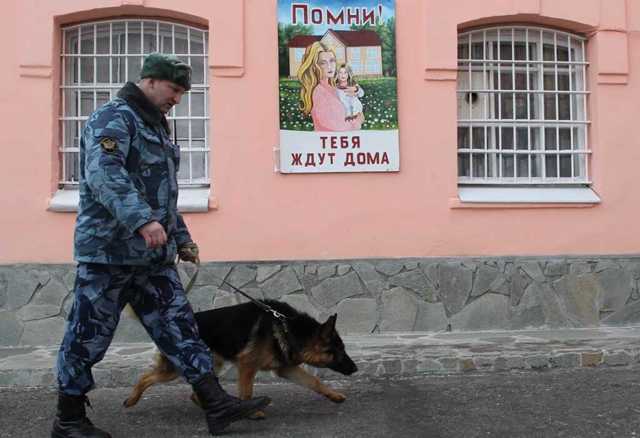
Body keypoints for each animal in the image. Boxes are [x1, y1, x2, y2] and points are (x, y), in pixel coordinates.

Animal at [122, 300, 358, 416]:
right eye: (338, 350)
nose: (355, 369)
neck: (288, 327)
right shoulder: (247, 365)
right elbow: (247, 392)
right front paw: (251, 412)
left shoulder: (286, 368)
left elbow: (314, 381)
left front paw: (333, 395)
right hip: (179, 368)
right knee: (145, 378)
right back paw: (131, 400)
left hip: (209, 364)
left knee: (194, 391)